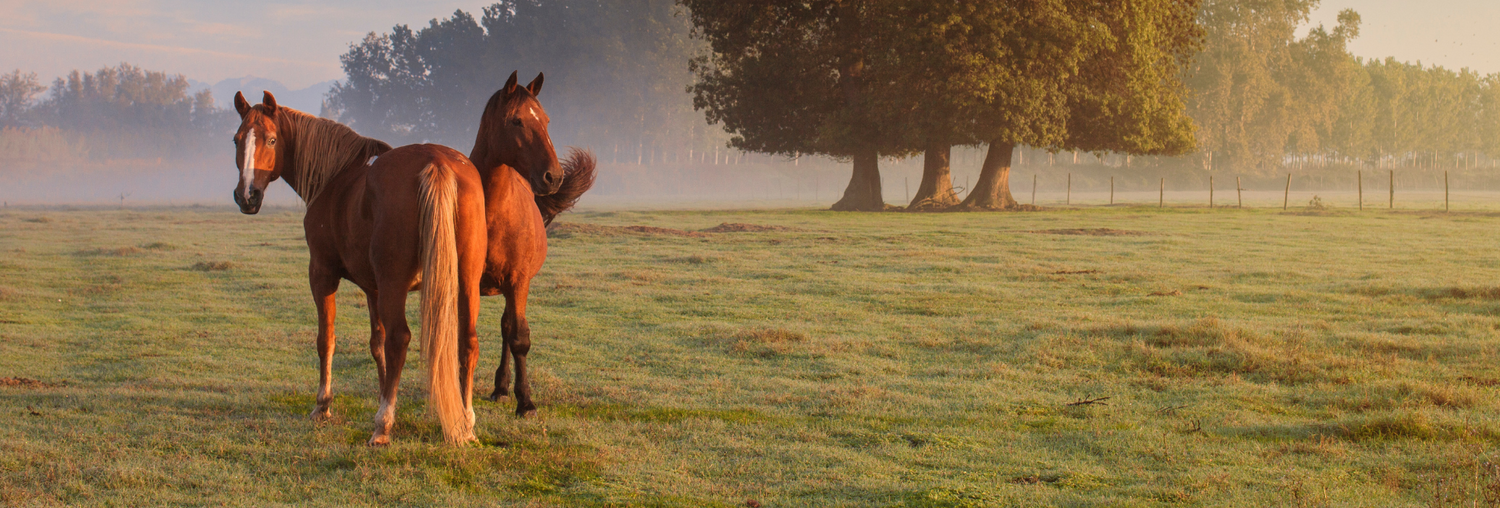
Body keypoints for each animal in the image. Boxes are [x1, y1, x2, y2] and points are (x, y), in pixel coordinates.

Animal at [228, 91, 486, 446]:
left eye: (271, 139)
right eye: (237, 140)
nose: (247, 196)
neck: (335, 178)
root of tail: (437, 162)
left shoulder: (322, 274)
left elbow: (327, 339)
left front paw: (323, 405)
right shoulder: (373, 288)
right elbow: (376, 344)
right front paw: (382, 393)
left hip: (395, 284)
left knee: (400, 339)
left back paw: (383, 425)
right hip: (466, 281)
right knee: (467, 341)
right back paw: (466, 423)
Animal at [468, 71, 597, 416]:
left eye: (546, 120)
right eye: (517, 121)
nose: (554, 177)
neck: (492, 212)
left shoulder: (518, 280)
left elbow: (519, 338)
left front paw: (525, 401)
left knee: (507, 328)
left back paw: (502, 388)